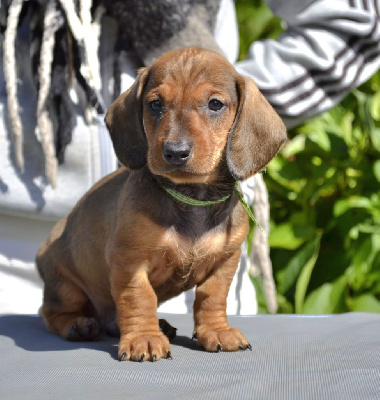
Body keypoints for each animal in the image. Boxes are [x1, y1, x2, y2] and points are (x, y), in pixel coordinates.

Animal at [35, 47, 286, 362]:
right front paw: (144, 338)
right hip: (65, 284)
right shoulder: (129, 261)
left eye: (215, 104)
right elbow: (138, 297)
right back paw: (78, 324)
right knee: (51, 311)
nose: (175, 152)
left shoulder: (226, 260)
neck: (192, 197)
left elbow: (212, 296)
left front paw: (217, 331)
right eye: (155, 104)